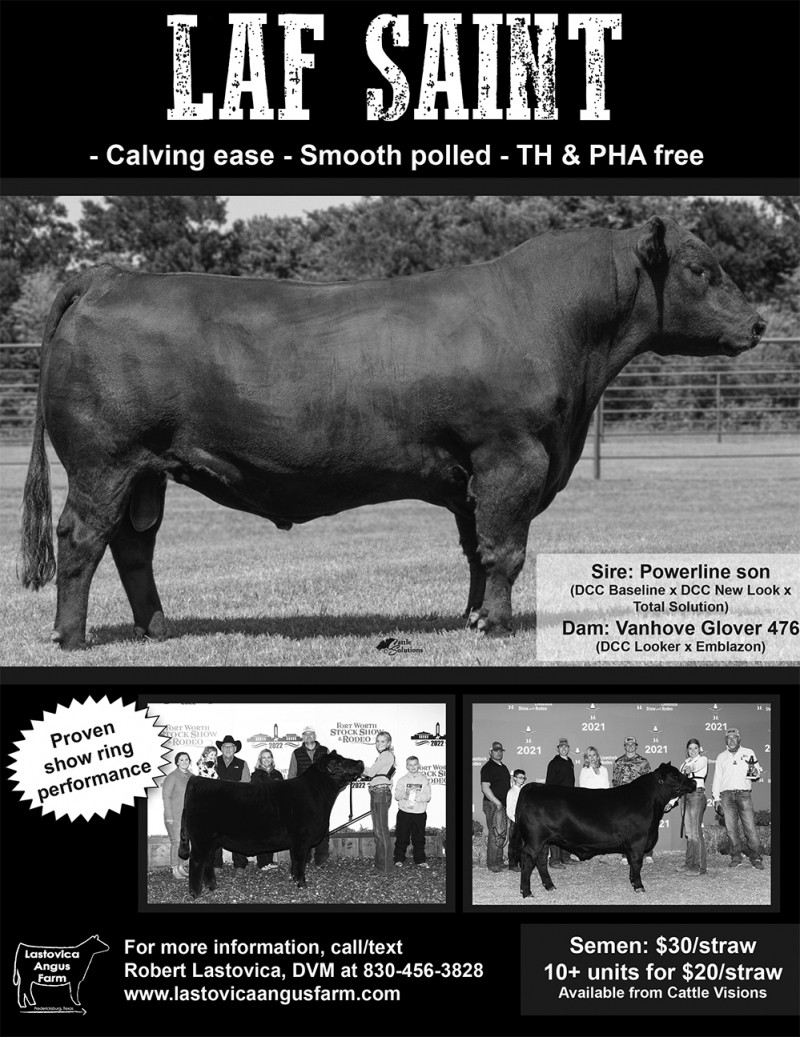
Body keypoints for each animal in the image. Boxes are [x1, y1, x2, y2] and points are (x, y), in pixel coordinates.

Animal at [19, 216, 765, 649]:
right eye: (701, 269)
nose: (758, 323)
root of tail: (107, 276)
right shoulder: (511, 457)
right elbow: (506, 549)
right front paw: (497, 625)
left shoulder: (473, 475)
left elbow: (476, 550)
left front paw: (472, 618)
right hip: (103, 461)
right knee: (81, 539)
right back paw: (72, 636)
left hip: (146, 469)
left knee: (132, 547)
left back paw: (157, 628)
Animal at [178, 750, 363, 897]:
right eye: (338, 763)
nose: (360, 762)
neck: (317, 795)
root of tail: (197, 780)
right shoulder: (301, 839)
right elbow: (300, 862)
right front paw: (302, 884)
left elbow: (295, 862)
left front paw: (294, 879)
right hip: (202, 838)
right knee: (196, 862)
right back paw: (195, 893)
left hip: (211, 840)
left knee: (207, 862)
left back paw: (213, 887)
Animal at [511, 762, 696, 896]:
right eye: (675, 775)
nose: (694, 782)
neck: (650, 801)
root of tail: (534, 786)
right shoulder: (638, 840)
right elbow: (637, 862)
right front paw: (639, 886)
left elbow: (632, 863)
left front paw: (632, 881)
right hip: (535, 839)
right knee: (528, 859)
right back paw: (526, 892)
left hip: (544, 841)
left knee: (541, 861)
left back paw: (549, 886)